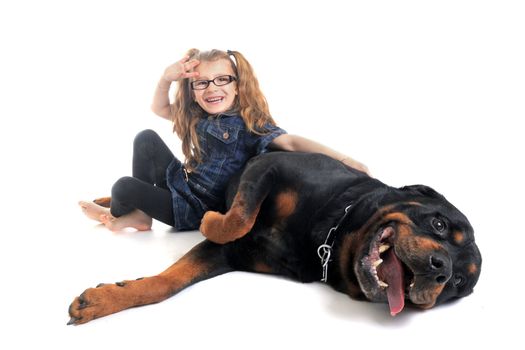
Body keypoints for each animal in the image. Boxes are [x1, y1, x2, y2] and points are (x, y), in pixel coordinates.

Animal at [67, 153, 482, 326]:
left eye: (459, 284)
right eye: (440, 224)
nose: (441, 270)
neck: (330, 235)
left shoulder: (231, 256)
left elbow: (169, 282)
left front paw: (105, 299)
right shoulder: (270, 165)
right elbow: (238, 217)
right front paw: (212, 221)